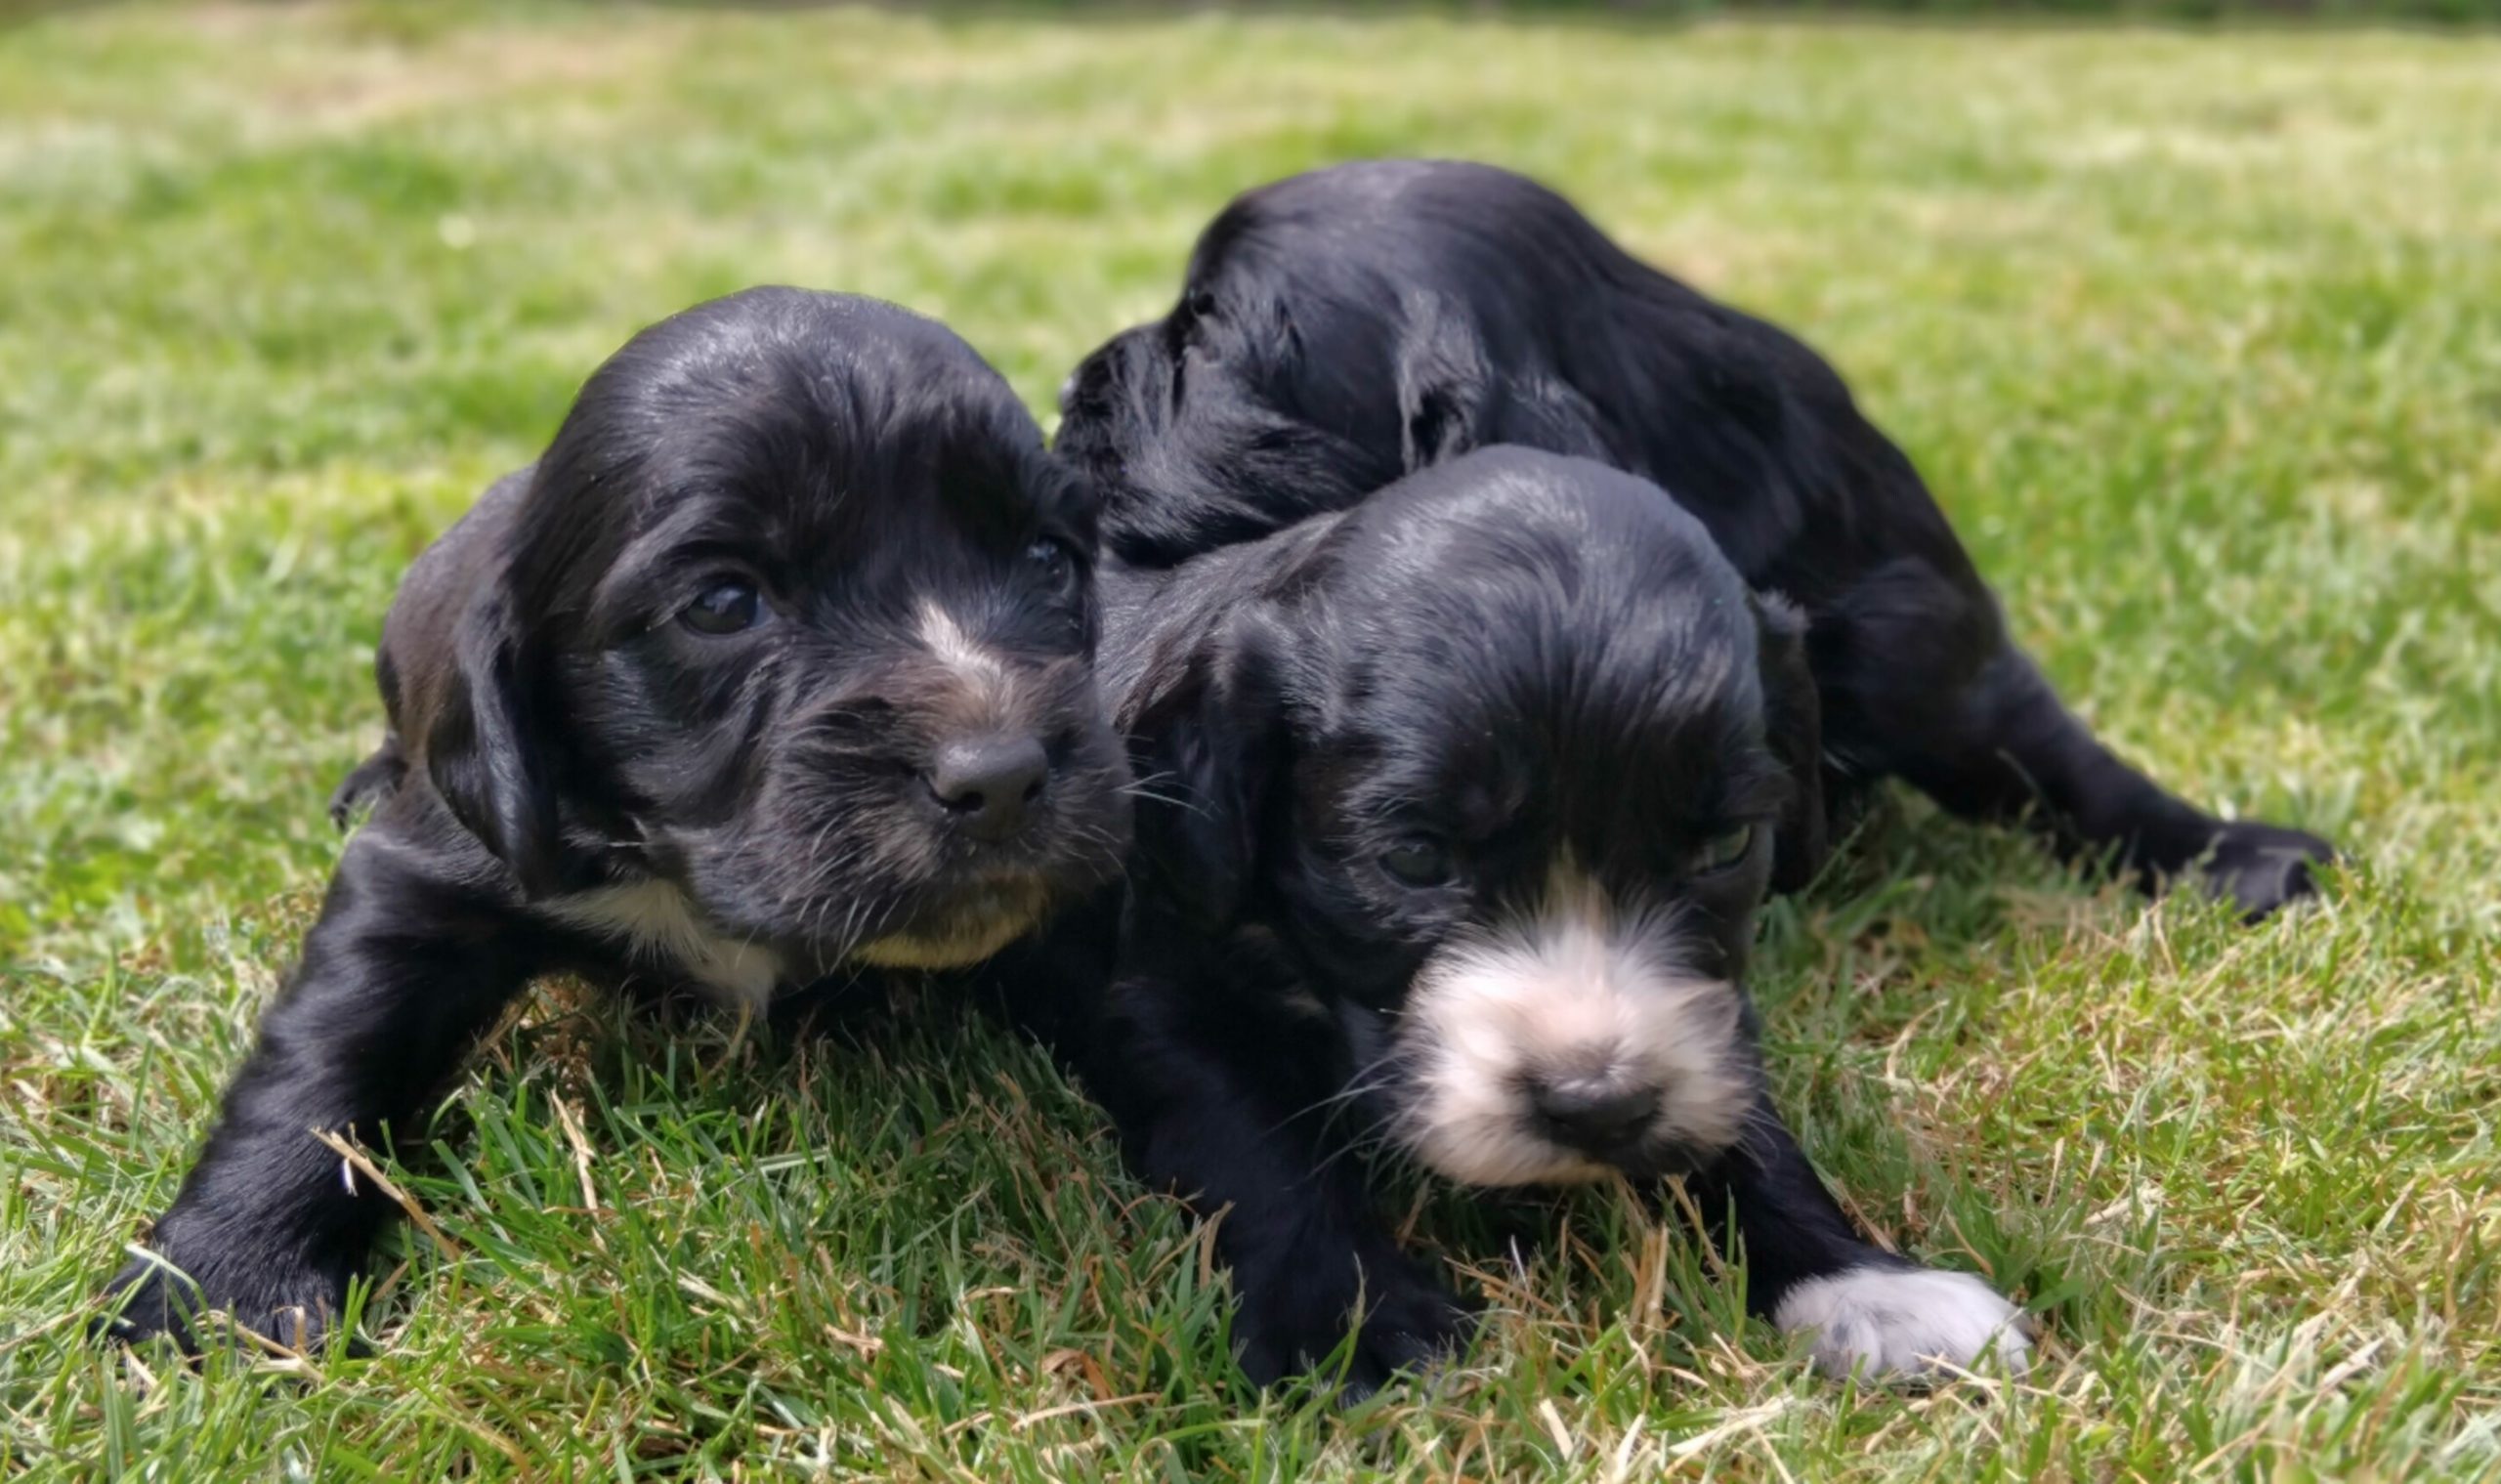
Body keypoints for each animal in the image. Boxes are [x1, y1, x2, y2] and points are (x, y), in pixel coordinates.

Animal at [102, 287, 1133, 1350]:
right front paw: (218, 1284)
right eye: (720, 603)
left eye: (1049, 559)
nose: (1002, 776)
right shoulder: (425, 870)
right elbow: (328, 1053)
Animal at [993, 447, 2032, 1393]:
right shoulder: (1165, 973)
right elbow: (1250, 1138)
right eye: (1415, 858)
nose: (1598, 1103)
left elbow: (1743, 1118)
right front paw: (1355, 1326)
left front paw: (1869, 1286)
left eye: (1728, 844)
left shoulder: (1709, 1012)